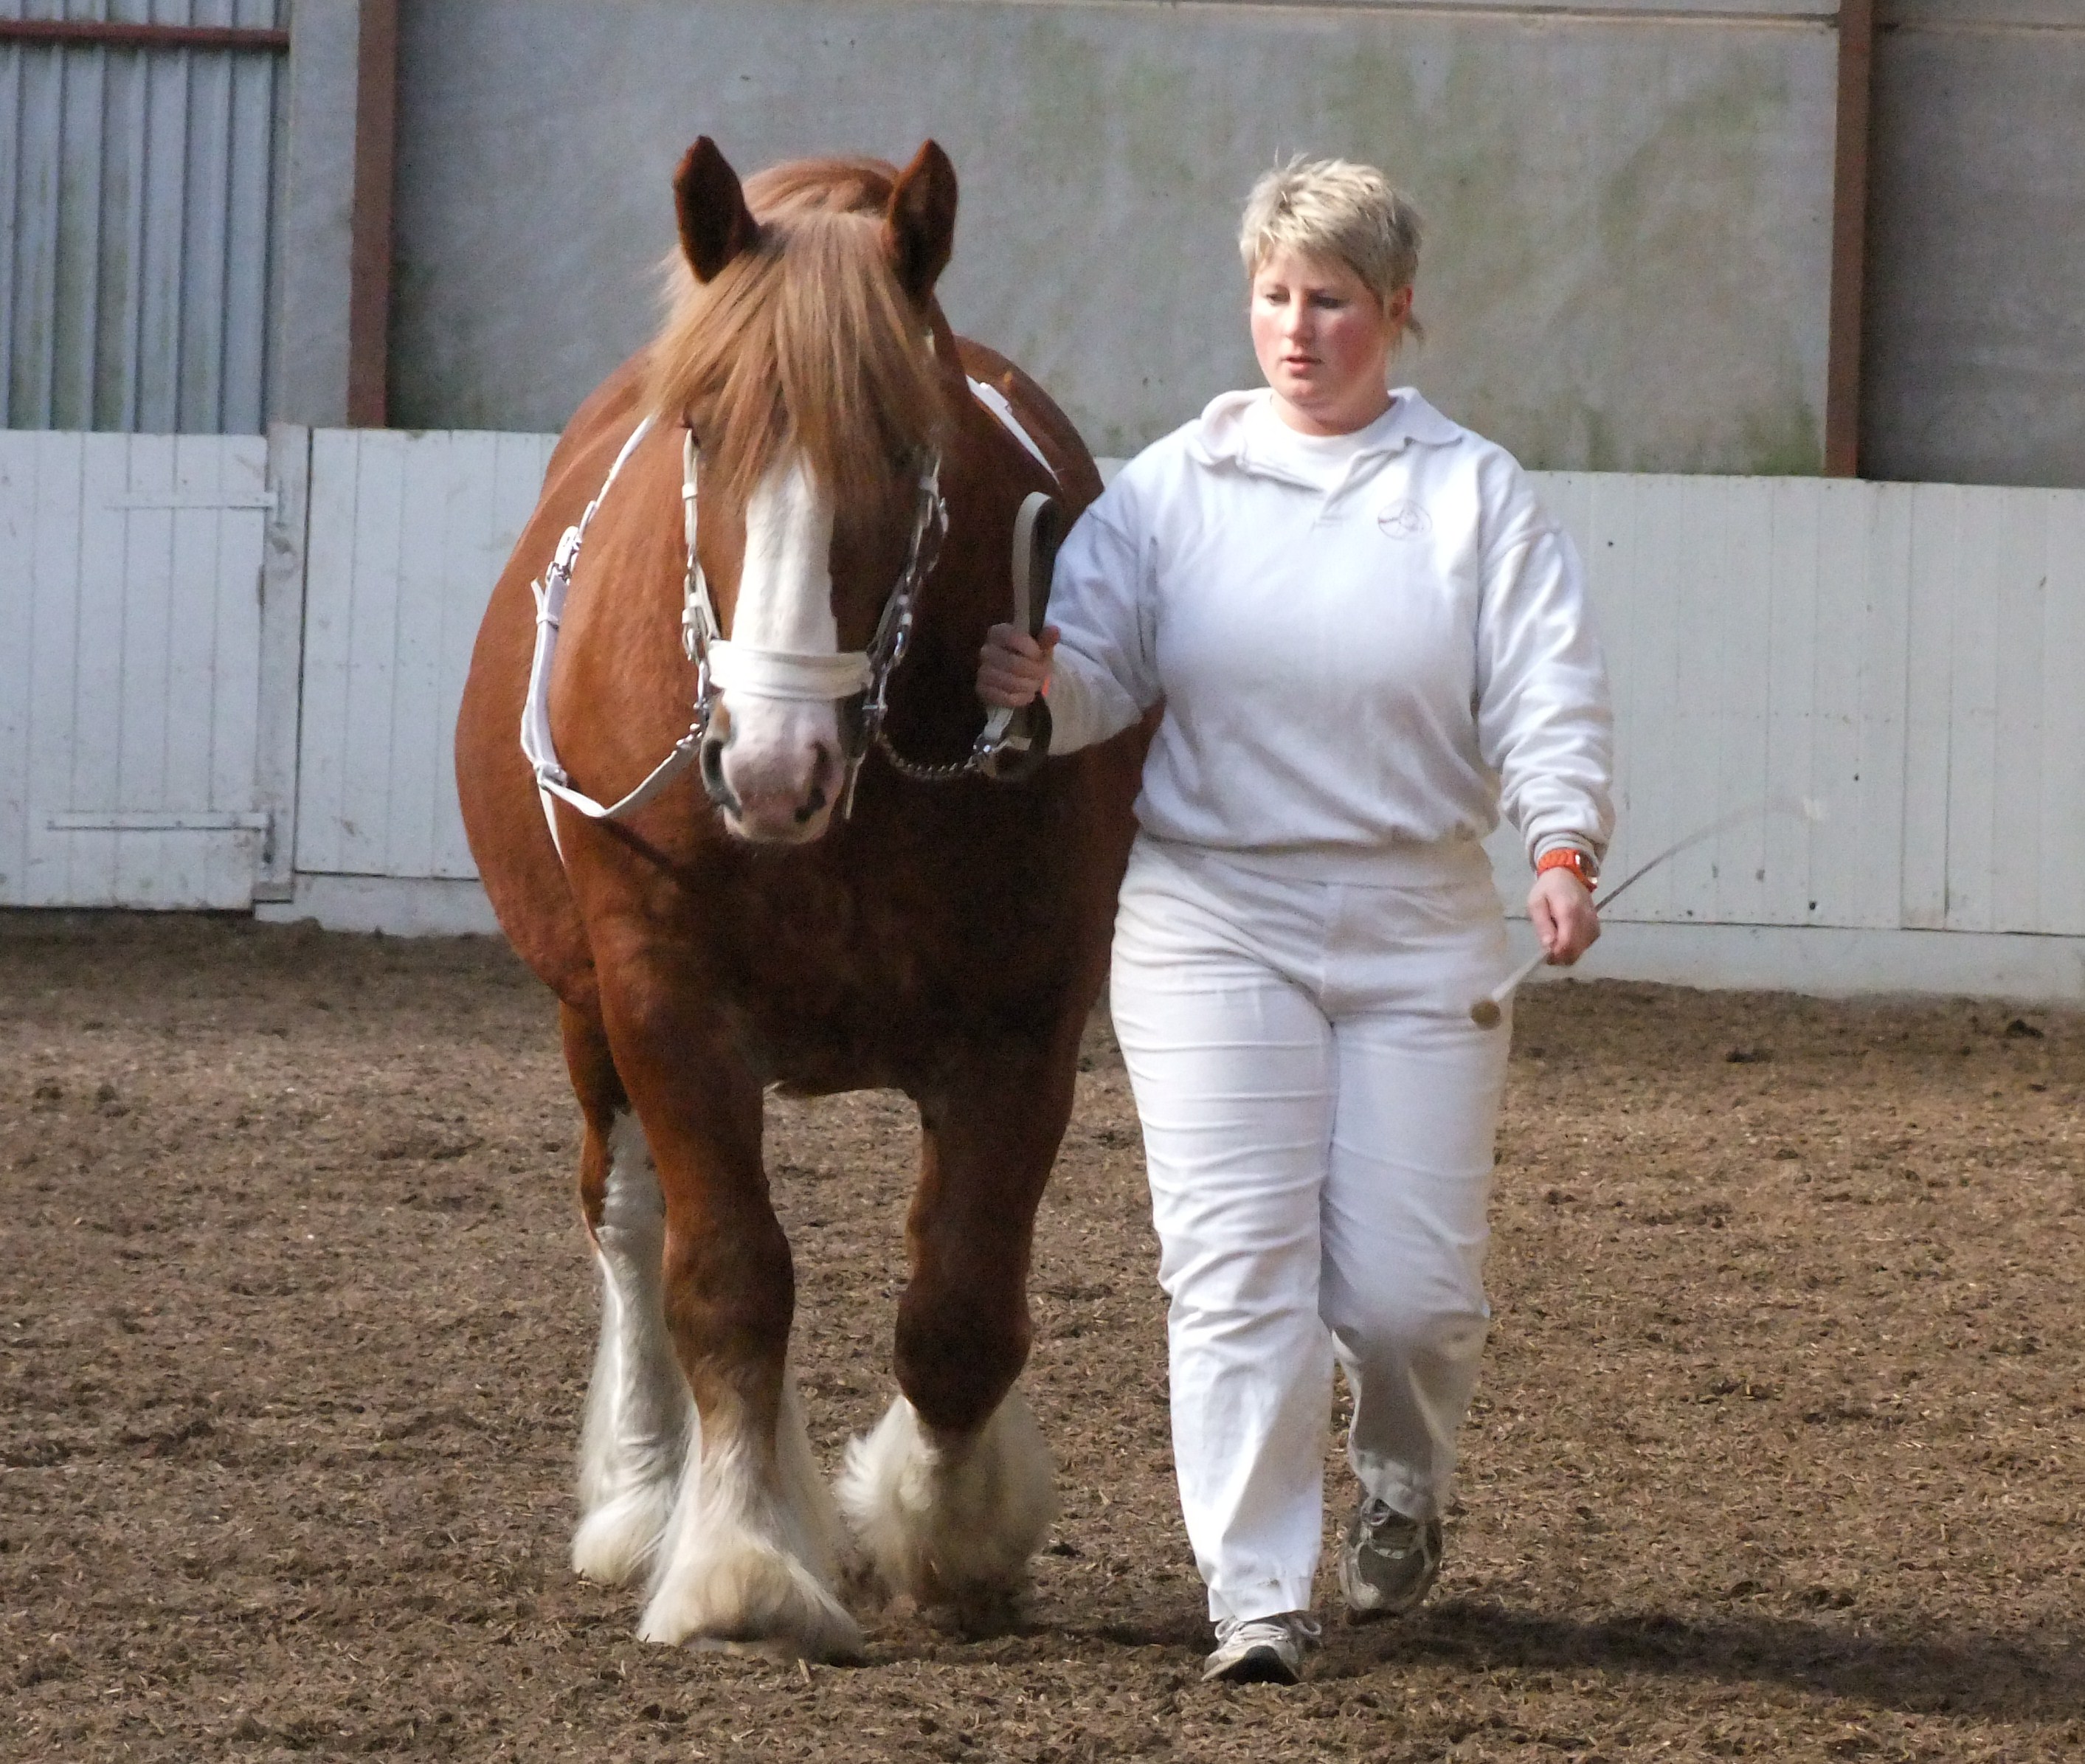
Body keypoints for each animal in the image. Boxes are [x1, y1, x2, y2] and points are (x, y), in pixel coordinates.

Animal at [452, 142, 1142, 1667]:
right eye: (703, 434)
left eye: (903, 443)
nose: (769, 769)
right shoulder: (665, 1001)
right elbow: (725, 1277)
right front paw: (740, 1561)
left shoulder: (1024, 1028)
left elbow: (960, 1307)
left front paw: (947, 1529)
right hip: (588, 1013)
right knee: (627, 1221)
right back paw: (647, 1494)